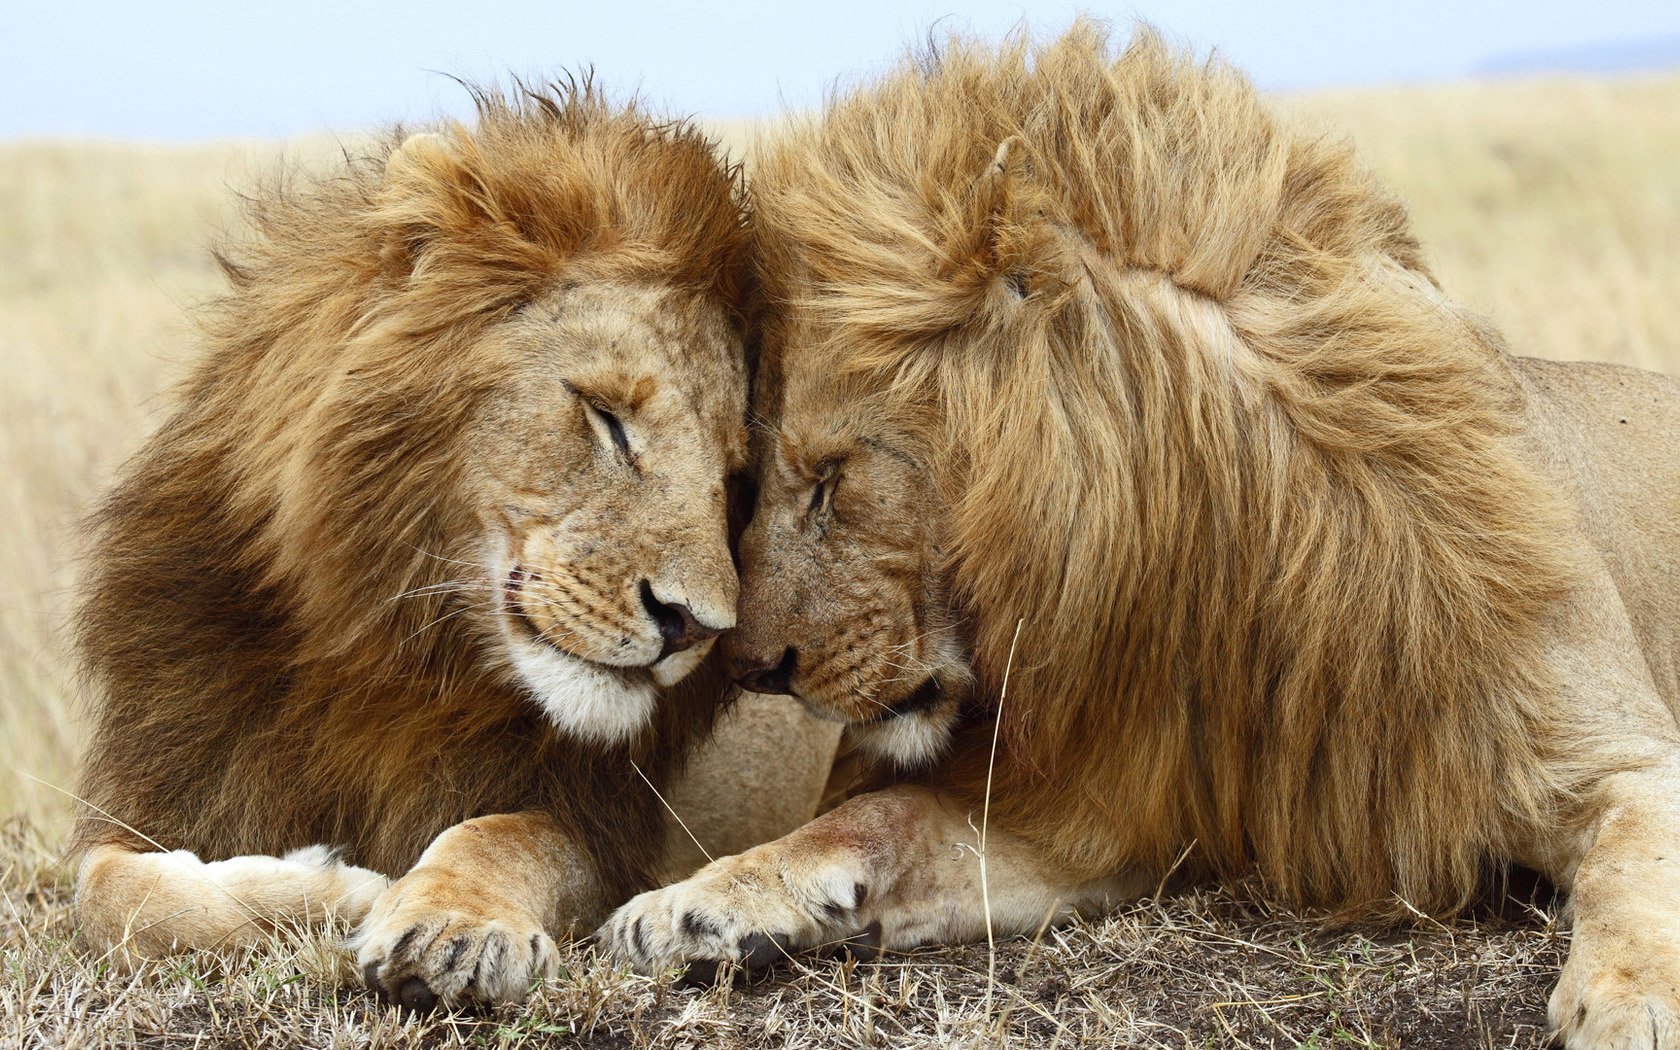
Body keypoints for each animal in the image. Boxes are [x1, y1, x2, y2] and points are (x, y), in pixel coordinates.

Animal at [69, 82, 839, 1010]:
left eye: (732, 479)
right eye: (606, 417)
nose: (695, 625)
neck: (390, 649)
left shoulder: (602, 825)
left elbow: (500, 834)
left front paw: (448, 924)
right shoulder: (165, 786)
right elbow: (108, 892)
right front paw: (331, 889)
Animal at [603, 26, 1680, 1048]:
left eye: (829, 477)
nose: (750, 668)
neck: (1224, 559)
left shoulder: (1616, 753)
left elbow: (1638, 866)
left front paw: (1633, 1004)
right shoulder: (1100, 808)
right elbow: (877, 818)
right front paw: (694, 904)